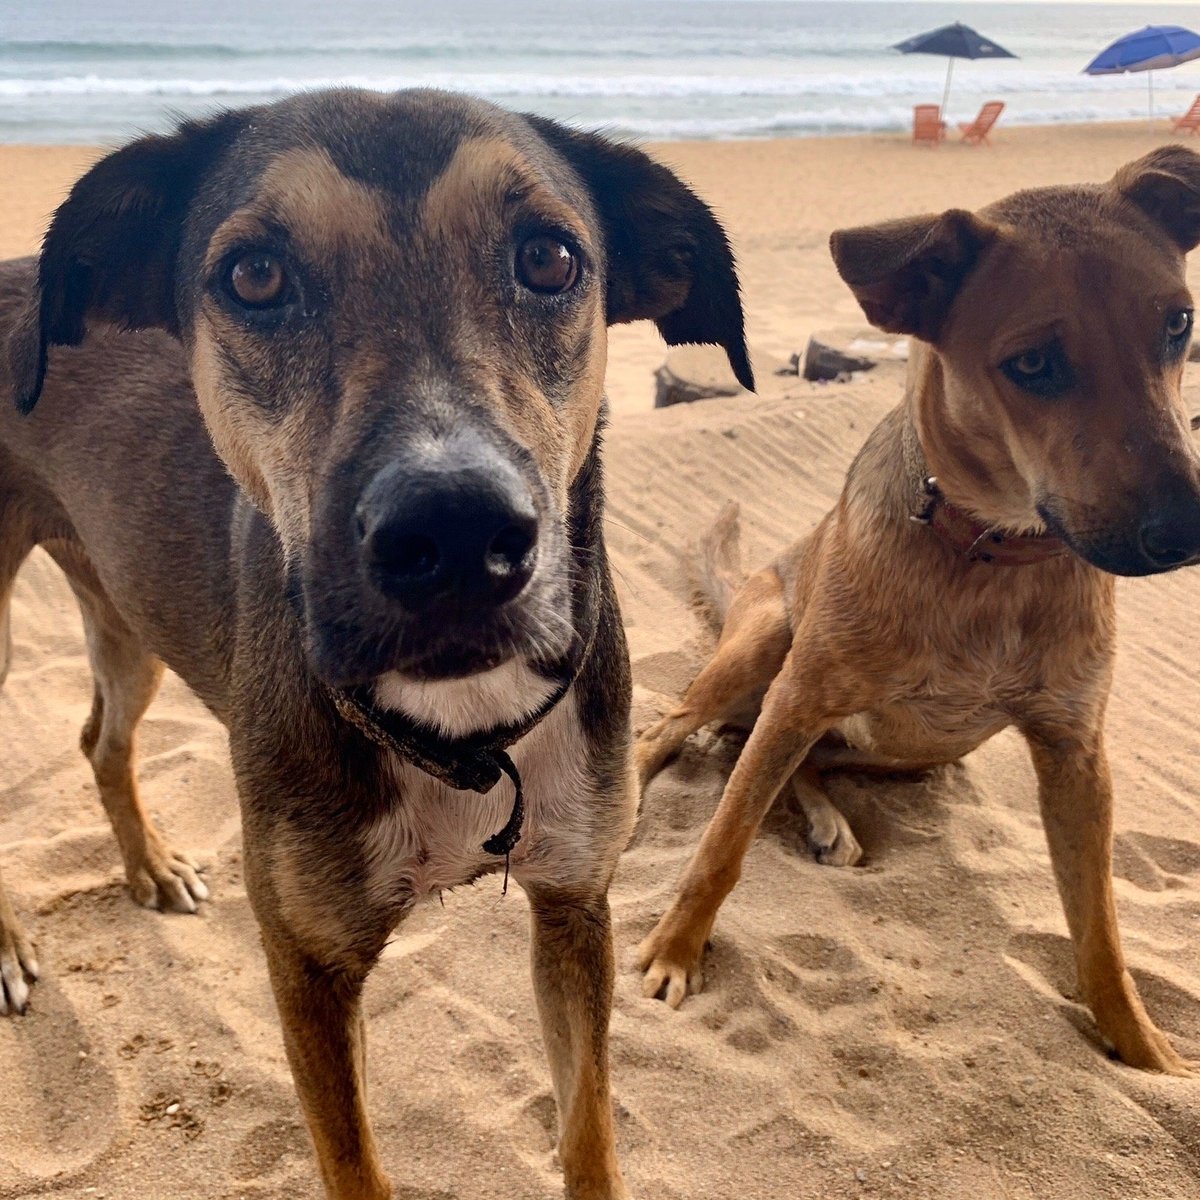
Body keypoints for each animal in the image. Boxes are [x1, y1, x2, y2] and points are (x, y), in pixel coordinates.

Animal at [0, 91, 748, 1200]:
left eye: (550, 259)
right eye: (254, 276)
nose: (455, 536)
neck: (462, 730)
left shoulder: (576, 908)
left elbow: (589, 1133)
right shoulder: (309, 968)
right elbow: (354, 1163)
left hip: (124, 598)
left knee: (102, 737)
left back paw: (151, 866)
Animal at [643, 145, 1200, 1075]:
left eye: (1179, 324)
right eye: (1033, 365)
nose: (1185, 527)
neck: (993, 552)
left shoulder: (1076, 753)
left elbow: (1099, 930)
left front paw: (1143, 1048)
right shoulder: (801, 691)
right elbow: (721, 844)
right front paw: (674, 953)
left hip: (916, 751)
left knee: (799, 760)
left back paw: (829, 820)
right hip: (764, 645)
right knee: (680, 731)